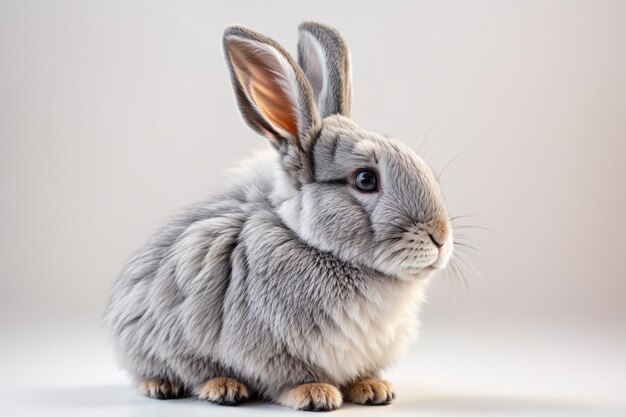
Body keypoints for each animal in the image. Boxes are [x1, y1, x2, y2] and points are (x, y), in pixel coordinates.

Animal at [105, 22, 450, 410]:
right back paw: (202, 387)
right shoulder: (273, 348)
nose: (441, 238)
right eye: (365, 179)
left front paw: (373, 389)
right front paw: (315, 394)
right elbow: (292, 376)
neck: (315, 246)